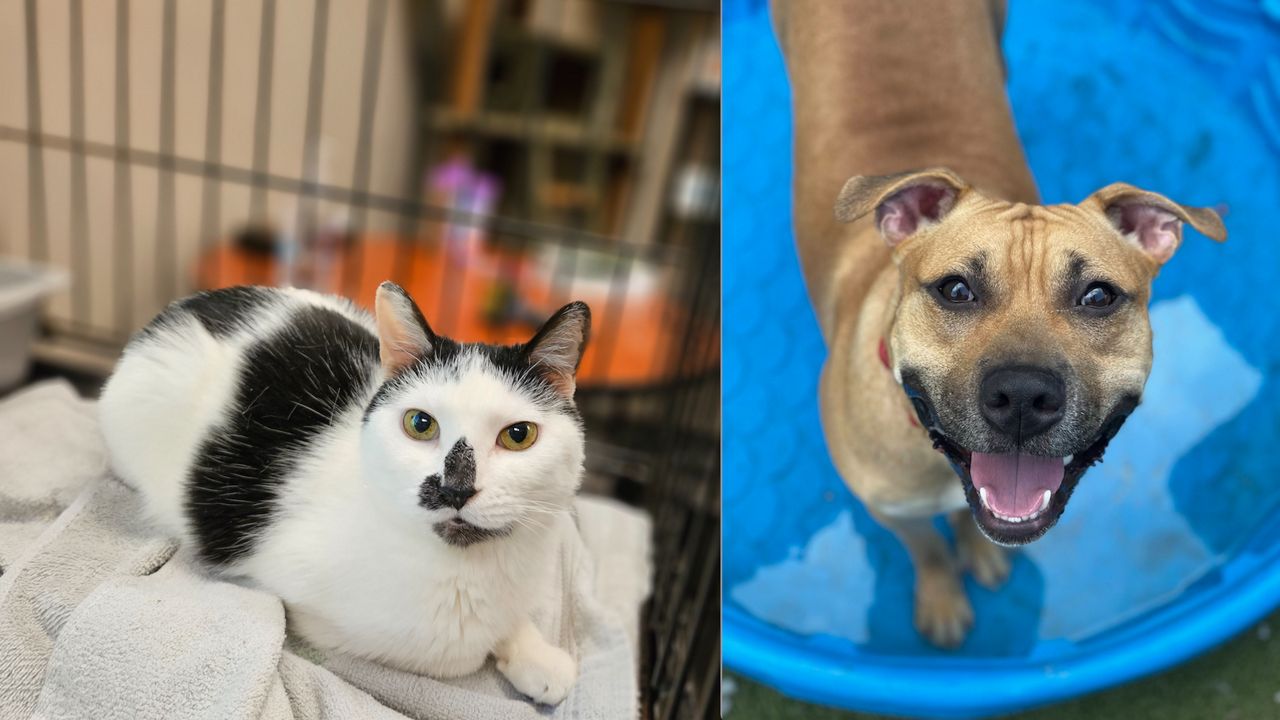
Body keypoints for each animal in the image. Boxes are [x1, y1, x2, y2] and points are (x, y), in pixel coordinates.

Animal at [99, 280, 588, 702]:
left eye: (519, 435)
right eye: (420, 423)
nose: (455, 489)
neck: (465, 572)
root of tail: (182, 306)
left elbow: (510, 619)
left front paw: (536, 655)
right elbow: (452, 655)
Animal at [773, 0, 1223, 645]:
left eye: (1098, 297)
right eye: (956, 290)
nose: (1022, 396)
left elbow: (966, 519)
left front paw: (977, 553)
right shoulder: (888, 509)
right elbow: (926, 549)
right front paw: (941, 594)